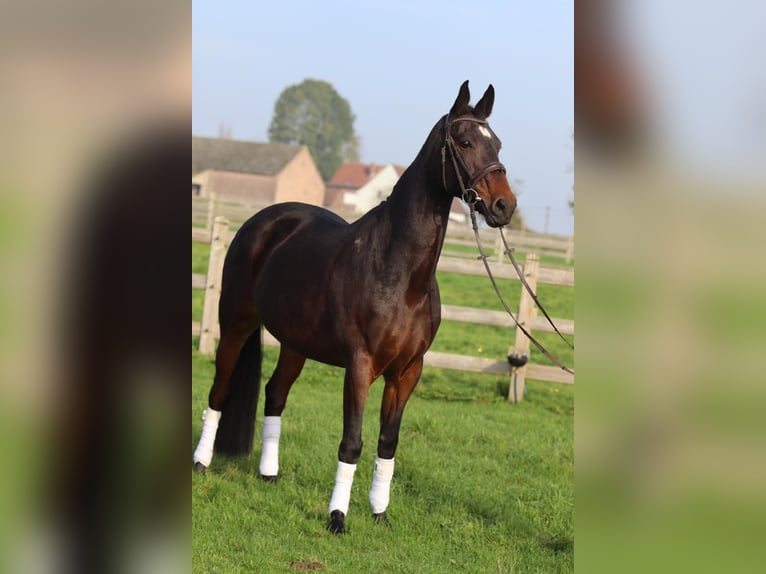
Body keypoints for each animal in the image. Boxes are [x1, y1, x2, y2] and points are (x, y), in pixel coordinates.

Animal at [192, 81, 520, 536]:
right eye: (466, 141)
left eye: (498, 143)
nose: (505, 206)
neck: (399, 274)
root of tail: (262, 222)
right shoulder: (361, 366)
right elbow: (352, 442)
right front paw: (337, 517)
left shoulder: (407, 372)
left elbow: (387, 441)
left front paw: (379, 512)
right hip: (236, 323)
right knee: (220, 389)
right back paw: (202, 463)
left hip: (295, 344)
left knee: (275, 394)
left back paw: (269, 473)